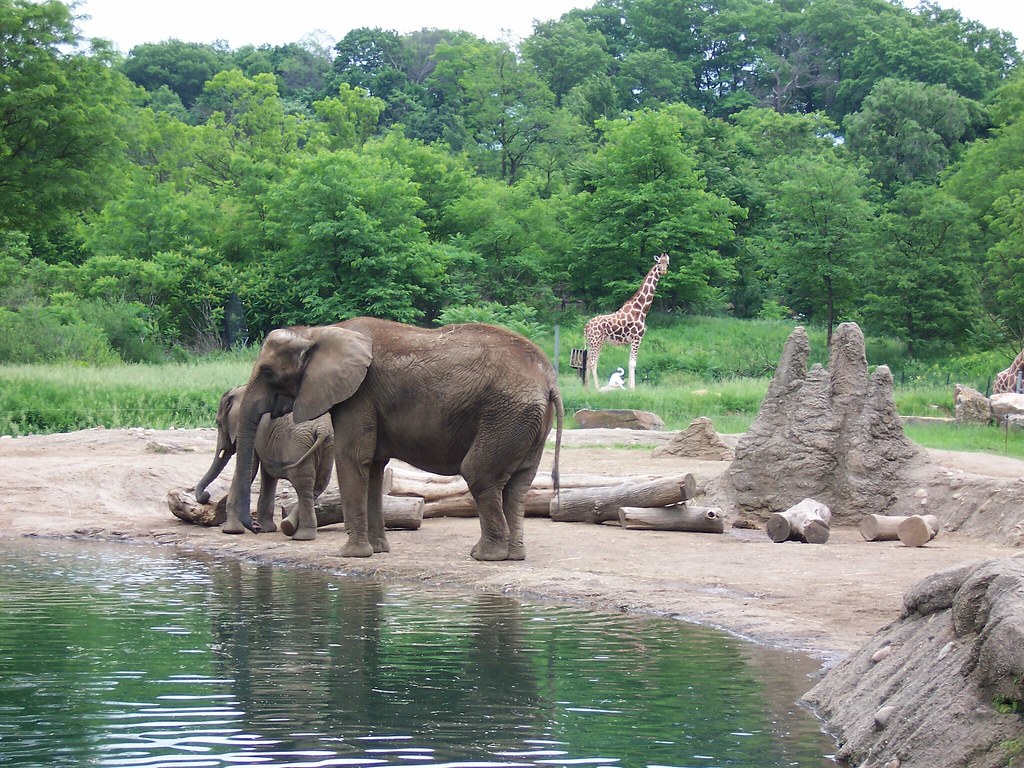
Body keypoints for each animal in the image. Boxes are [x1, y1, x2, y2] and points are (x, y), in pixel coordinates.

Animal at [193, 385, 333, 540]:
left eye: (218, 422)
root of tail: (321, 428)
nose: (206, 496)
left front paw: (231, 531)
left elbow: (252, 469)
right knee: (318, 484)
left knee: (303, 484)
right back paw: (290, 526)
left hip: (299, 445)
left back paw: (300, 535)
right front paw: (266, 529)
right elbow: (267, 475)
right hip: (327, 446)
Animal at [224, 315, 565, 561]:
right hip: (526, 420)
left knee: (478, 473)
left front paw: (351, 555)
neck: (317, 332)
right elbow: (374, 466)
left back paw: (485, 556)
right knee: (519, 483)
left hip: (506, 414)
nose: (255, 529)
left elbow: (351, 458)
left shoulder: (358, 395)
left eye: (269, 373)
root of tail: (549, 379)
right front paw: (377, 550)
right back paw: (513, 556)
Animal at [585, 253, 671, 391]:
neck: (641, 309)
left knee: (588, 361)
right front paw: (633, 388)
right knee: (593, 362)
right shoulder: (637, 337)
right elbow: (632, 363)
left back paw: (586, 387)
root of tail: (587, 326)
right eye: (659, 263)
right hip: (596, 341)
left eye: (667, 263)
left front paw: (630, 387)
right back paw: (597, 388)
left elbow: (630, 362)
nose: (663, 271)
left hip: (592, 342)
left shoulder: (633, 339)